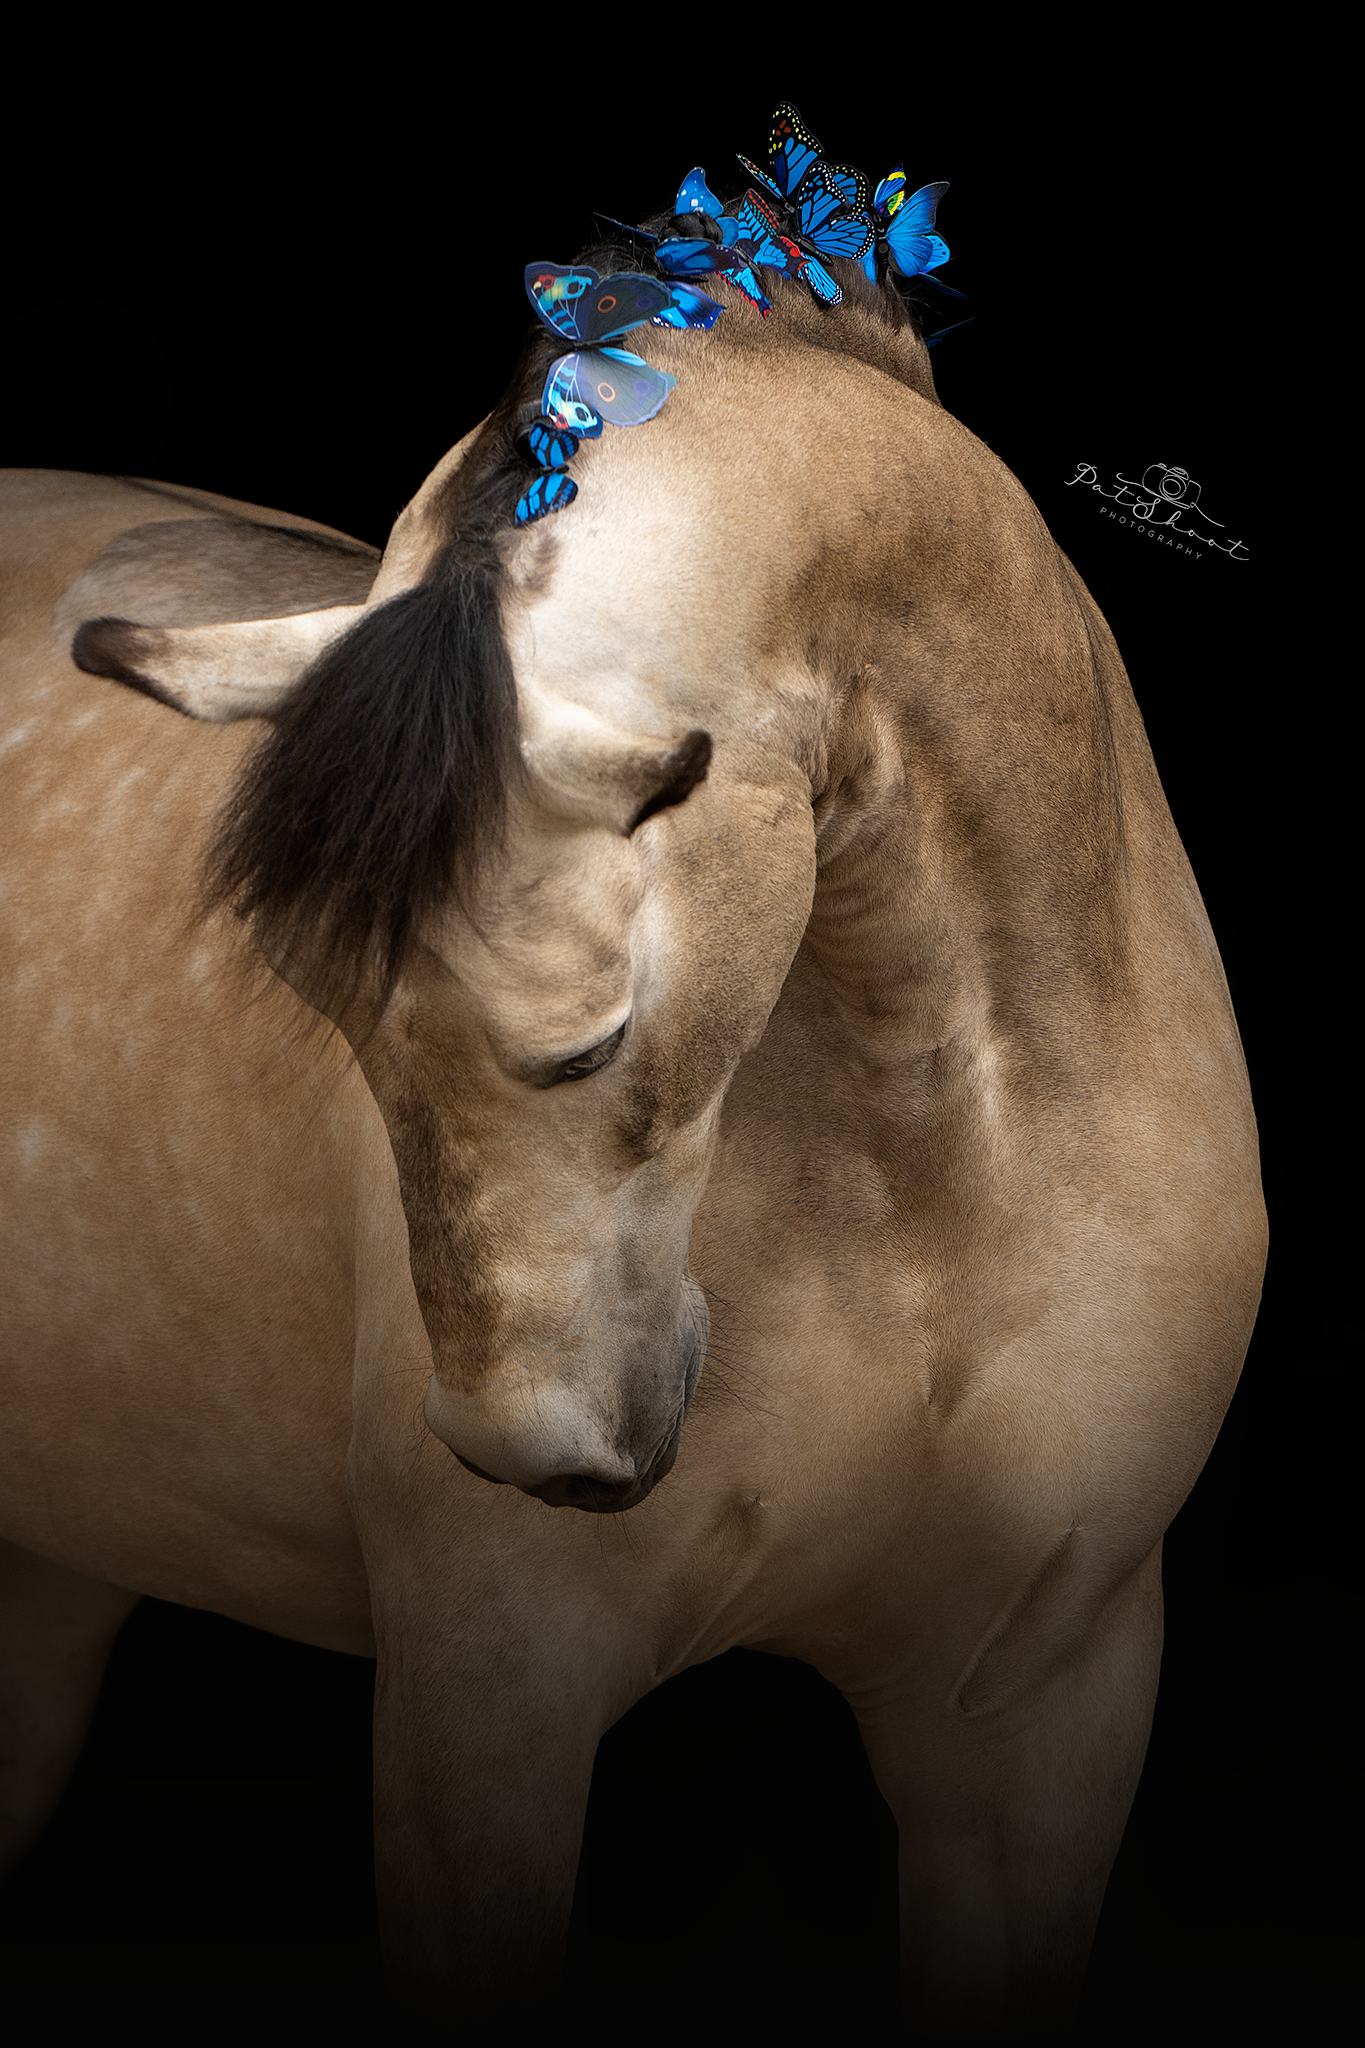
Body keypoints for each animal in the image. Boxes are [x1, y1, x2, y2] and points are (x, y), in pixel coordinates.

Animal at [0, 213, 1265, 2040]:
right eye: (313, 995)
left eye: (592, 1037)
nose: (535, 1459)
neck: (937, 1187)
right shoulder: (488, 1705)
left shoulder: (1041, 1719)